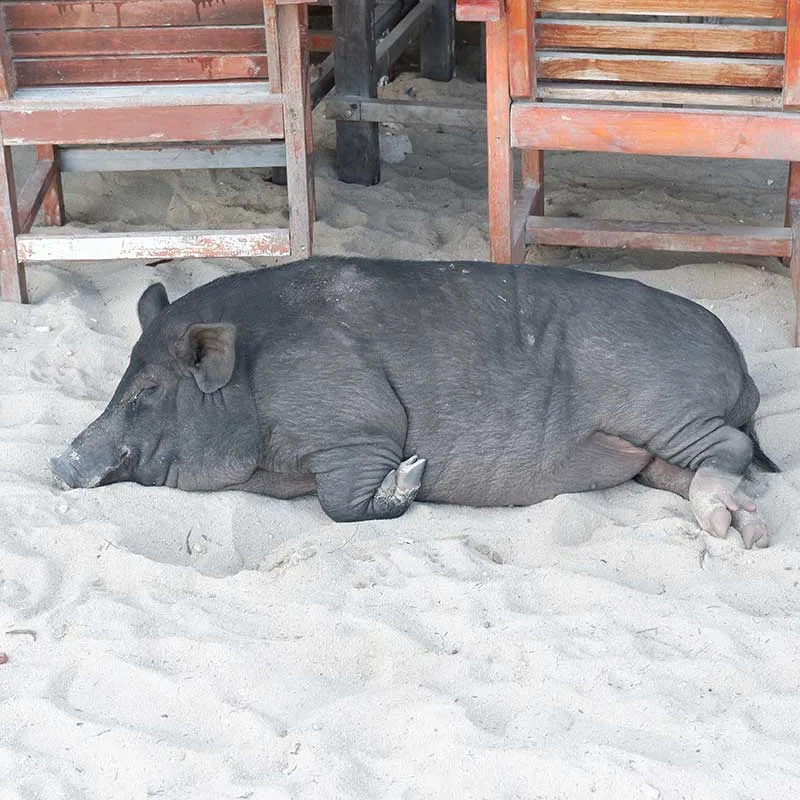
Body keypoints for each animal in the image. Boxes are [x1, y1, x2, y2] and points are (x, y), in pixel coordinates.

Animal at [51, 257, 778, 548]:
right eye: (122, 378)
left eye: (148, 390)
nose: (60, 461)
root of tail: (741, 364)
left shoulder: (355, 426)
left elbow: (342, 503)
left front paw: (413, 474)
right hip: (646, 447)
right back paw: (739, 525)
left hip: (665, 410)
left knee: (733, 445)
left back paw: (736, 531)